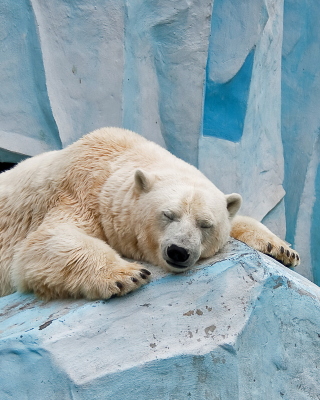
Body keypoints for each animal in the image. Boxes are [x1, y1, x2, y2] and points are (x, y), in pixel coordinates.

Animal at [0, 128, 300, 300]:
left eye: (205, 224)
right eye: (168, 214)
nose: (178, 251)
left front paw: (283, 249)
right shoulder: (77, 191)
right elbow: (43, 242)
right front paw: (128, 275)